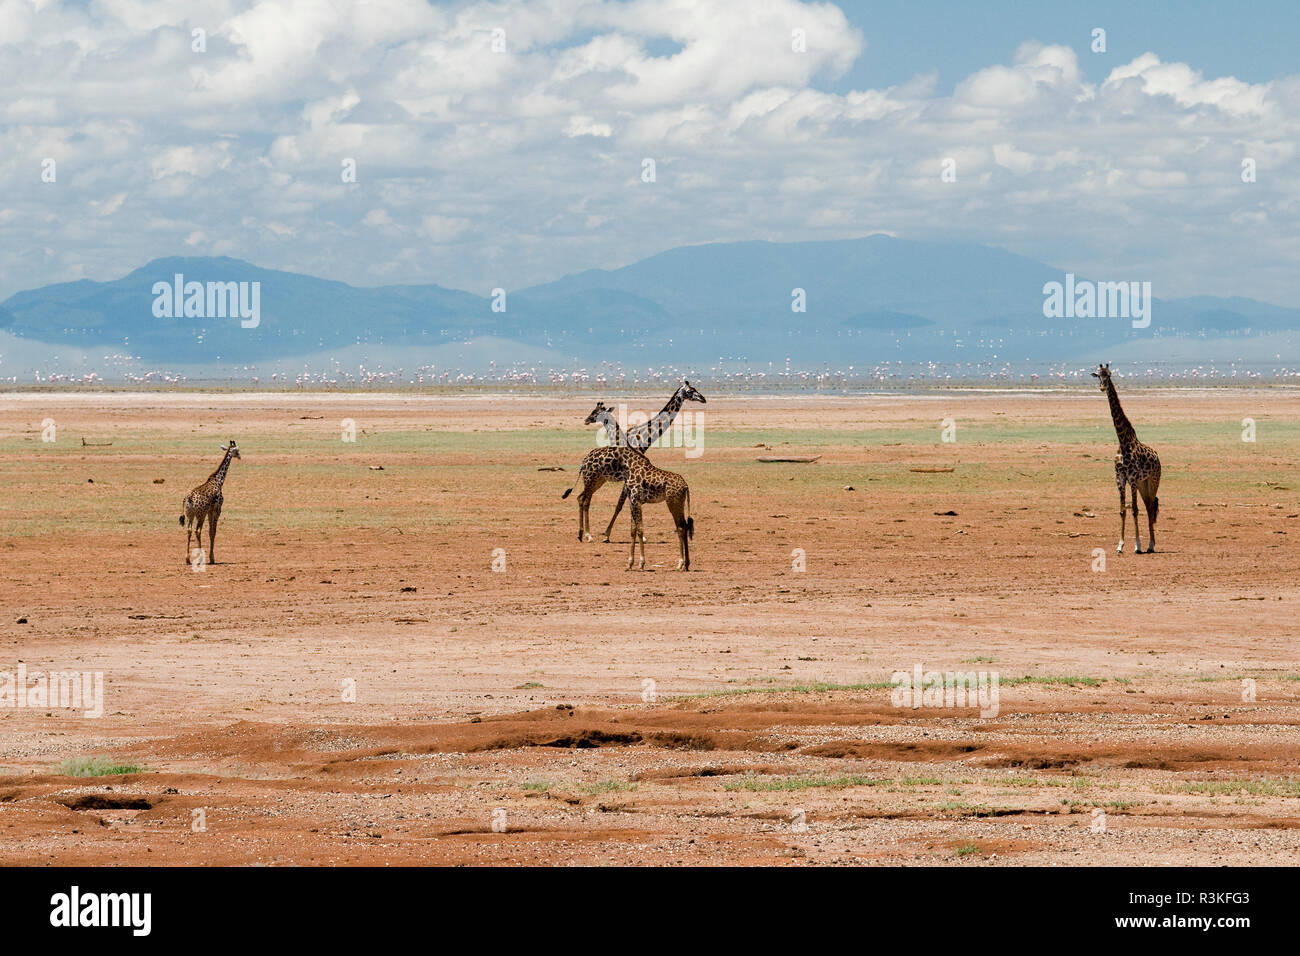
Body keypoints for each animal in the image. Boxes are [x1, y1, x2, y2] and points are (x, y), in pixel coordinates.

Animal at [582, 382, 702, 546]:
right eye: (690, 391)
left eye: (695, 389)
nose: (703, 399)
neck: (643, 438)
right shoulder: (630, 479)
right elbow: (621, 504)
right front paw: (608, 534)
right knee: (585, 499)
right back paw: (588, 534)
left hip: (600, 479)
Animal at [1092, 361, 1164, 554]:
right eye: (1098, 375)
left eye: (1109, 375)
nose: (1102, 387)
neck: (1123, 442)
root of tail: (1157, 456)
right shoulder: (1120, 478)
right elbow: (1123, 510)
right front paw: (1120, 545)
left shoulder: (1131, 479)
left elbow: (1134, 510)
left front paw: (1137, 545)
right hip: (1142, 483)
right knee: (1148, 505)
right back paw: (1150, 544)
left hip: (1152, 480)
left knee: (1150, 506)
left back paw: (1150, 544)